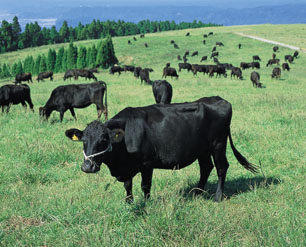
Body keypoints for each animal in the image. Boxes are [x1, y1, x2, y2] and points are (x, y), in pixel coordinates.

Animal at [65, 95, 256, 202]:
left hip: (218, 144)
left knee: (221, 167)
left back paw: (217, 197)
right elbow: (128, 185)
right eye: (83, 140)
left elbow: (145, 186)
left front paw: (147, 203)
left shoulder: (146, 164)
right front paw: (128, 203)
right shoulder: (127, 167)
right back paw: (196, 193)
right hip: (202, 149)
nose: (87, 166)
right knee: (206, 168)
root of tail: (219, 99)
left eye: (104, 140)